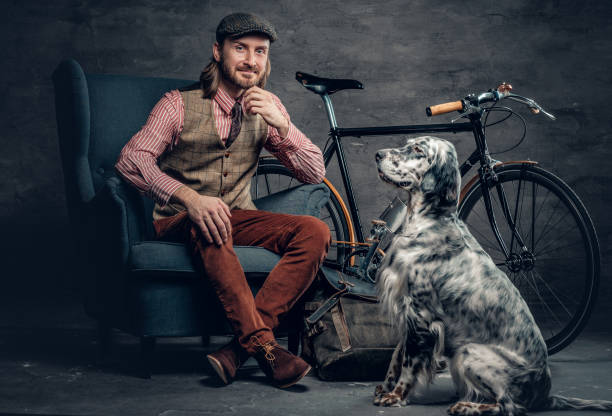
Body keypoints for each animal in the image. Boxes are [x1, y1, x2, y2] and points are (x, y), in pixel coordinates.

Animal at [372, 136, 612, 412]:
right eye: (407, 143)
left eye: (417, 149)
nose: (378, 155)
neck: (428, 221)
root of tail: (545, 395)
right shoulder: (406, 309)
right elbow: (396, 356)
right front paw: (385, 388)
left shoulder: (420, 314)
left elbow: (409, 362)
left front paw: (396, 396)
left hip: (468, 352)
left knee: (509, 406)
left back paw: (466, 407)